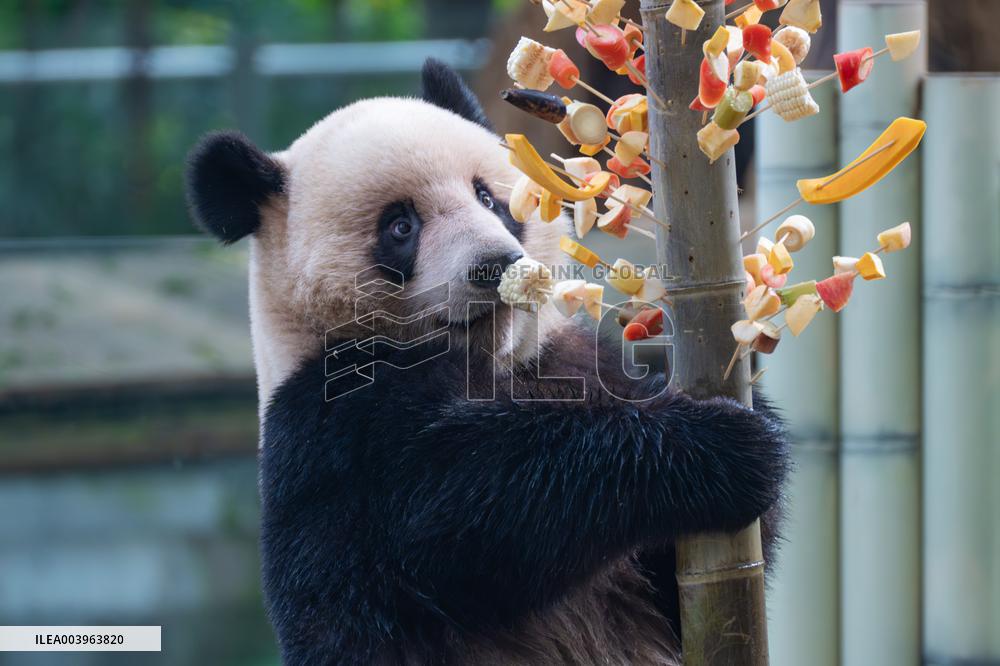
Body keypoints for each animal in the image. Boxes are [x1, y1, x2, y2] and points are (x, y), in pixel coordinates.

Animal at [185, 59, 789, 666]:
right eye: (400, 226)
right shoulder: (337, 421)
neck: (491, 362)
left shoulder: (568, 360)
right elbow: (460, 511)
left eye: (488, 199)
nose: (494, 265)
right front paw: (720, 446)